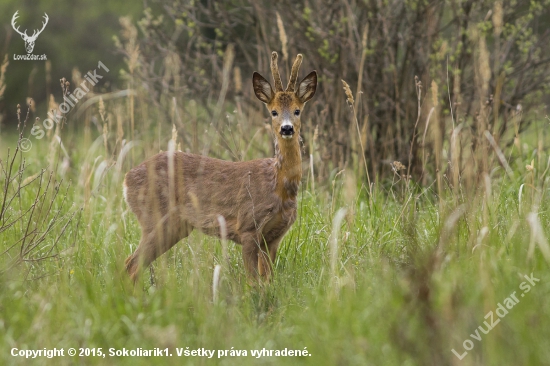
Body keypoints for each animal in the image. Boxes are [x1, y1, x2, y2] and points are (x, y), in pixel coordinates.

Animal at [123, 51, 316, 282]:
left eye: (297, 111)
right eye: (274, 112)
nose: (287, 129)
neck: (279, 186)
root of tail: (126, 180)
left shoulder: (274, 237)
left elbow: (268, 281)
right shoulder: (248, 227)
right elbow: (253, 282)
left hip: (175, 226)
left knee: (132, 264)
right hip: (154, 217)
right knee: (132, 264)